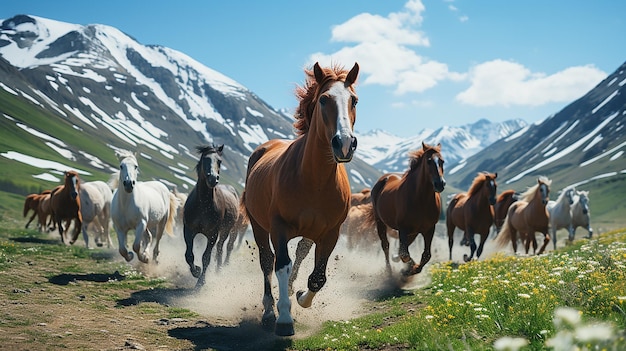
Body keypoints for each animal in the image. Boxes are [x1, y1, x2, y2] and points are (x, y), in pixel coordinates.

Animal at [183, 144, 239, 288]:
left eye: (219, 161)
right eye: (205, 159)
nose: (213, 178)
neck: (203, 205)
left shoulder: (212, 235)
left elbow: (206, 257)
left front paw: (200, 282)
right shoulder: (189, 231)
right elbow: (189, 255)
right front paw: (196, 271)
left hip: (225, 231)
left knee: (220, 248)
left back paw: (218, 269)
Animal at [240, 62, 358, 336]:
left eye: (354, 100)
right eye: (324, 99)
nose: (345, 143)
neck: (313, 180)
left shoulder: (331, 233)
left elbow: (318, 277)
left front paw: (300, 297)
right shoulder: (278, 228)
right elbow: (281, 265)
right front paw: (284, 318)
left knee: (301, 253)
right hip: (259, 226)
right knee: (267, 262)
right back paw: (269, 311)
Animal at [364, 143, 446, 278]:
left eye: (442, 161)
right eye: (429, 161)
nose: (440, 184)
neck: (421, 199)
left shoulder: (429, 229)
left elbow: (426, 255)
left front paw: (412, 269)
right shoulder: (403, 228)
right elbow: (404, 254)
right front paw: (408, 269)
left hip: (413, 232)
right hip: (380, 222)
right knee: (386, 246)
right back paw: (389, 271)